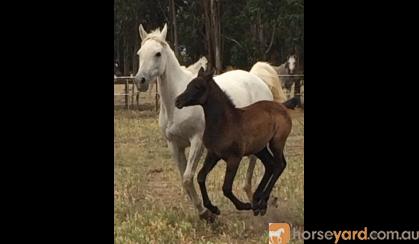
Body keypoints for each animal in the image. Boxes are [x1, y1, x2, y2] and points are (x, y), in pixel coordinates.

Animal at [135, 22, 276, 217]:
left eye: (158, 53)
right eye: (139, 53)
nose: (140, 81)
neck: (174, 107)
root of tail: (257, 79)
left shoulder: (197, 141)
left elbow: (188, 178)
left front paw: (206, 213)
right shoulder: (174, 145)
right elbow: (184, 180)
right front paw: (205, 212)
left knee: (255, 161)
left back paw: (255, 199)